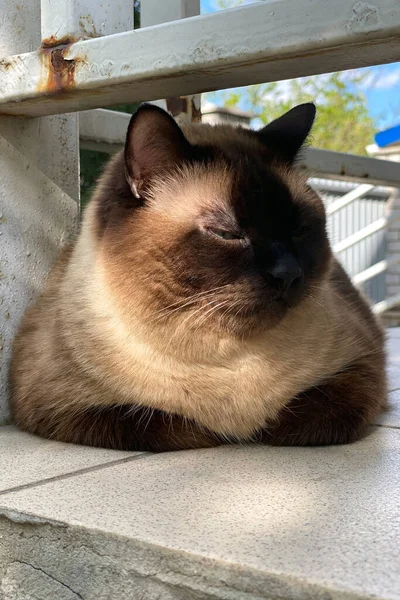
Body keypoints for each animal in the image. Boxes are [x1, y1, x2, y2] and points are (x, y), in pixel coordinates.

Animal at [9, 103, 386, 450]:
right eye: (227, 234)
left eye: (298, 230)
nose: (288, 273)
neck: (228, 360)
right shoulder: (66, 408)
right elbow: (180, 427)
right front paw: (225, 432)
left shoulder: (363, 367)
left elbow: (295, 419)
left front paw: (256, 429)